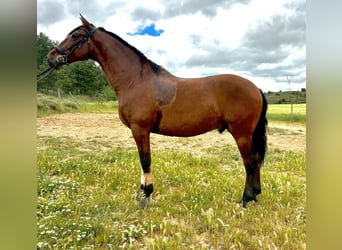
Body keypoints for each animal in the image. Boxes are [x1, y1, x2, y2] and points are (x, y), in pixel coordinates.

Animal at [47, 14, 268, 208]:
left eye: (76, 35)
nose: (51, 57)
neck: (136, 80)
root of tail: (255, 88)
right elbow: (142, 160)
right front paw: (141, 192)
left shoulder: (140, 128)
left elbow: (145, 160)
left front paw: (146, 196)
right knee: (256, 161)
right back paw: (255, 194)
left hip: (241, 133)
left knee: (250, 162)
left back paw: (246, 199)